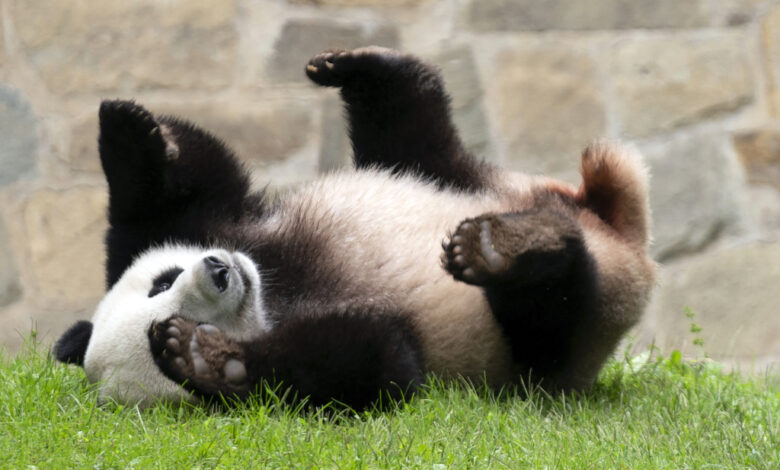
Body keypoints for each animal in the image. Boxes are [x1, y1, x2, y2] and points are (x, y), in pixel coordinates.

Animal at [53, 47, 655, 409]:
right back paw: (508, 250)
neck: (274, 290)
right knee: (552, 312)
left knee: (415, 136)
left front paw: (128, 130)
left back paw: (363, 69)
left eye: (162, 281)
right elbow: (376, 366)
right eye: (174, 307)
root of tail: (620, 234)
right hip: (555, 345)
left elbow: (184, 192)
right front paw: (206, 358)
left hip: (471, 180)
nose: (220, 271)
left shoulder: (225, 225)